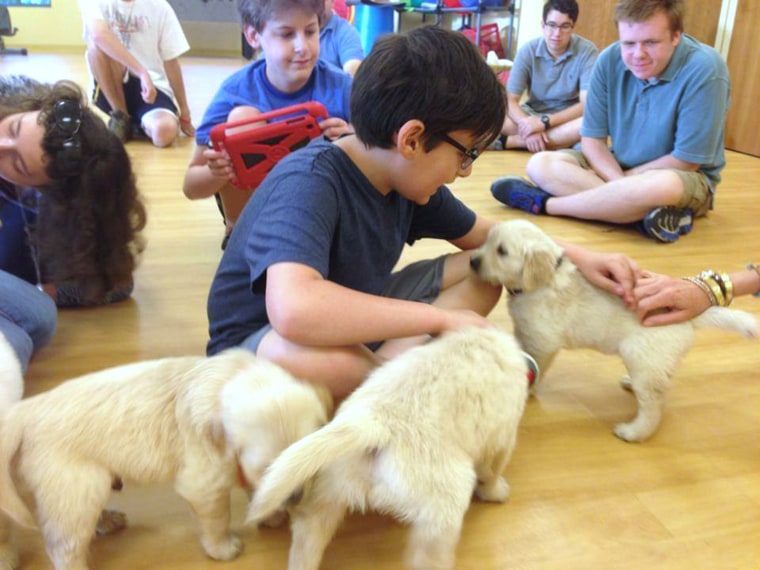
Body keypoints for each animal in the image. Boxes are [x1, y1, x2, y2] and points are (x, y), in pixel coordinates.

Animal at [0, 346, 332, 568]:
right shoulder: (203, 482)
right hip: (76, 486)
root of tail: (25, 409)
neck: (229, 377)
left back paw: (108, 520)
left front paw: (269, 511)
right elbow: (218, 519)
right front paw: (223, 548)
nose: (294, 498)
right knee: (63, 546)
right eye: (266, 469)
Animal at [248, 324, 528, 568]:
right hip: (444, 506)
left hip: (325, 495)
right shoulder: (505, 435)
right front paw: (496, 492)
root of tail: (374, 422)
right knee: (426, 557)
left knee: (305, 544)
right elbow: (493, 470)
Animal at [472, 217, 756, 440]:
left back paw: (634, 432)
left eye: (501, 251)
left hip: (640, 355)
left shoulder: (542, 343)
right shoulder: (524, 332)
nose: (473, 261)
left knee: (654, 403)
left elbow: (534, 367)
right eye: (487, 241)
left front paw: (526, 390)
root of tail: (690, 315)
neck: (540, 282)